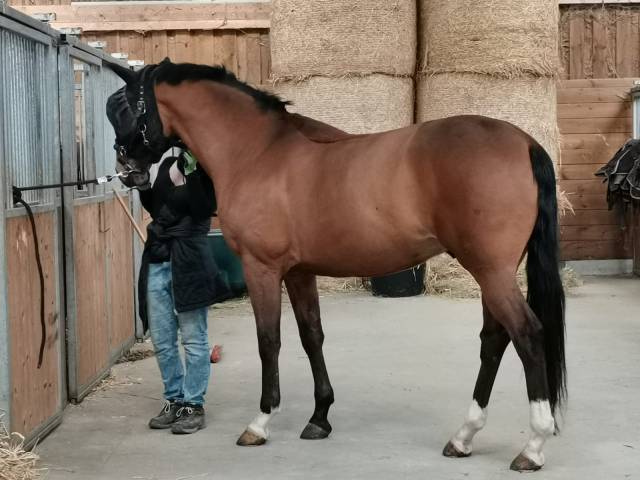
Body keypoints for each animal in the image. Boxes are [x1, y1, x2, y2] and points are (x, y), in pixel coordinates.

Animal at [105, 59, 566, 472]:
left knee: (527, 334)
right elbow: (312, 336)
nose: (125, 169)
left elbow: (269, 341)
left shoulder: (262, 269)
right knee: (494, 339)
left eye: (124, 107)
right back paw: (464, 437)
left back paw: (533, 447)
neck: (258, 152)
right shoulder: (299, 272)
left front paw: (260, 422)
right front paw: (319, 418)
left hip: (491, 272)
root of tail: (524, 142)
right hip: (494, 274)